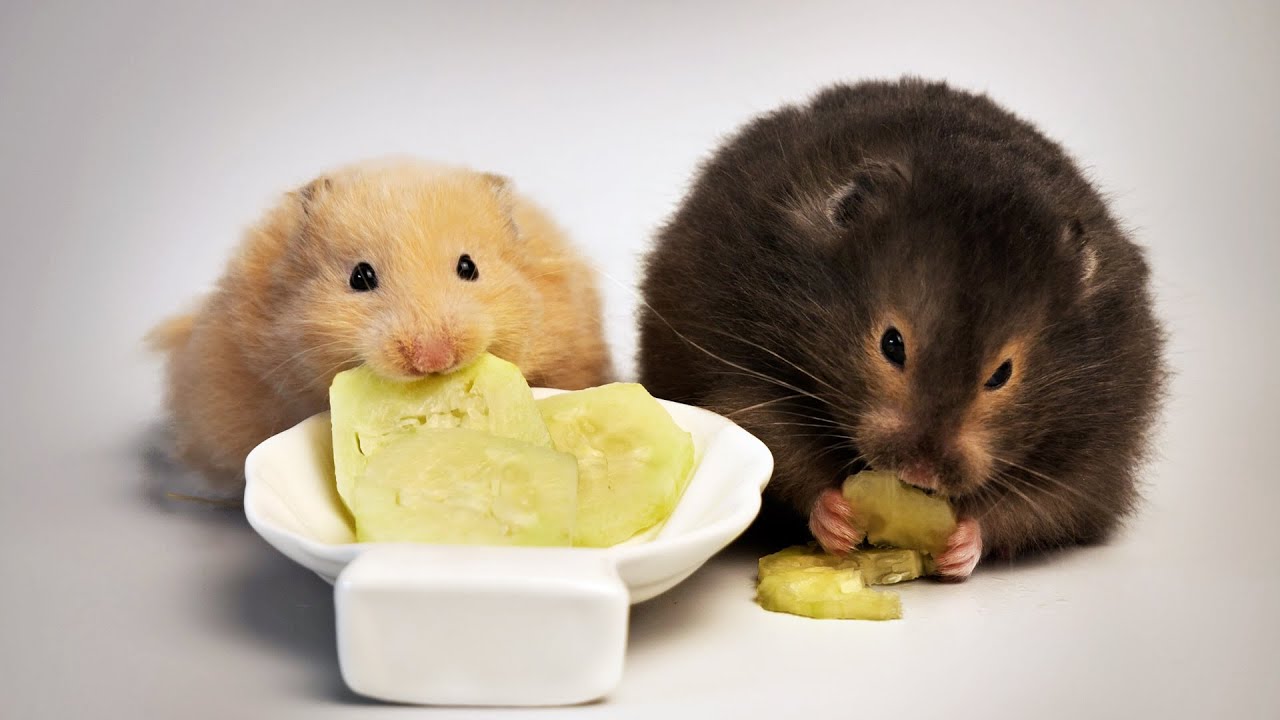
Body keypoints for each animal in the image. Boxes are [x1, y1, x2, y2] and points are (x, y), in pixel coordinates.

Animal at [637, 78, 1166, 580]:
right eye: (892, 344)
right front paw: (839, 521)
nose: (921, 475)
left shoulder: (1093, 452)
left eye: (1002, 374)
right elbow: (779, 452)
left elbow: (1033, 510)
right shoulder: (743, 369)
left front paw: (959, 549)